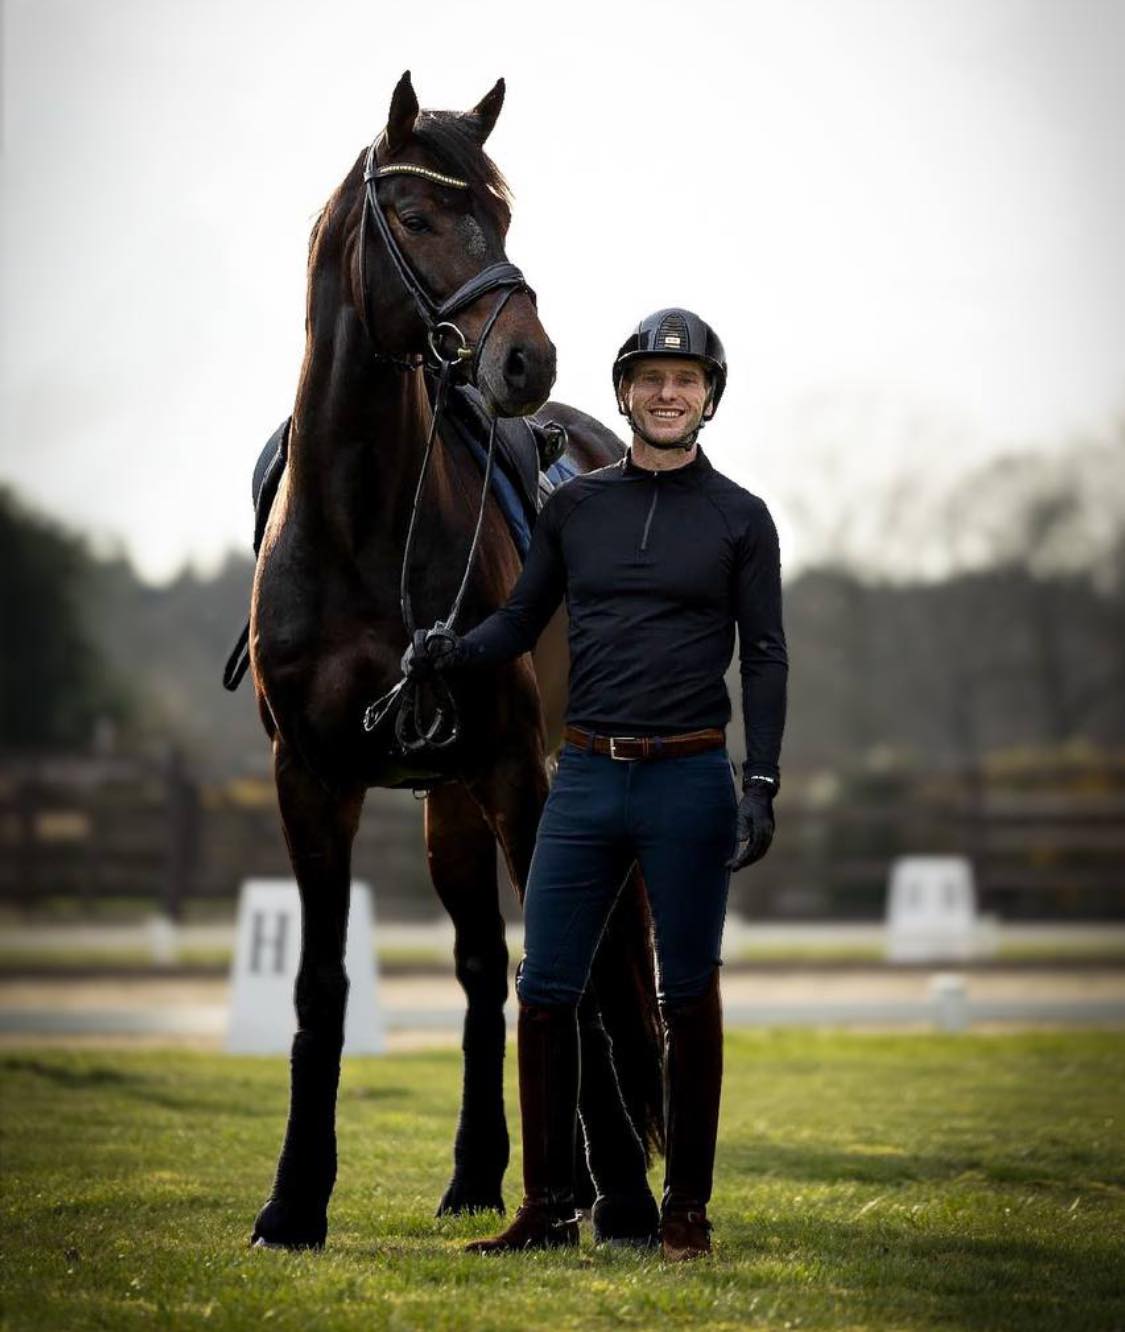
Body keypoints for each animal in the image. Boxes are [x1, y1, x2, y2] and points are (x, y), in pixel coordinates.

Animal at [246, 71, 663, 1249]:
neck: (360, 521)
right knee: (480, 970)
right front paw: (294, 1200)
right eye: (419, 215)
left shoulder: (520, 772)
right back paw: (477, 1174)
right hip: (446, 808)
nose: (527, 358)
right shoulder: (311, 781)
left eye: (503, 216)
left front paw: (613, 1193)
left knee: (576, 969)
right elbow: (322, 986)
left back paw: (597, 1183)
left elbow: (567, 977)